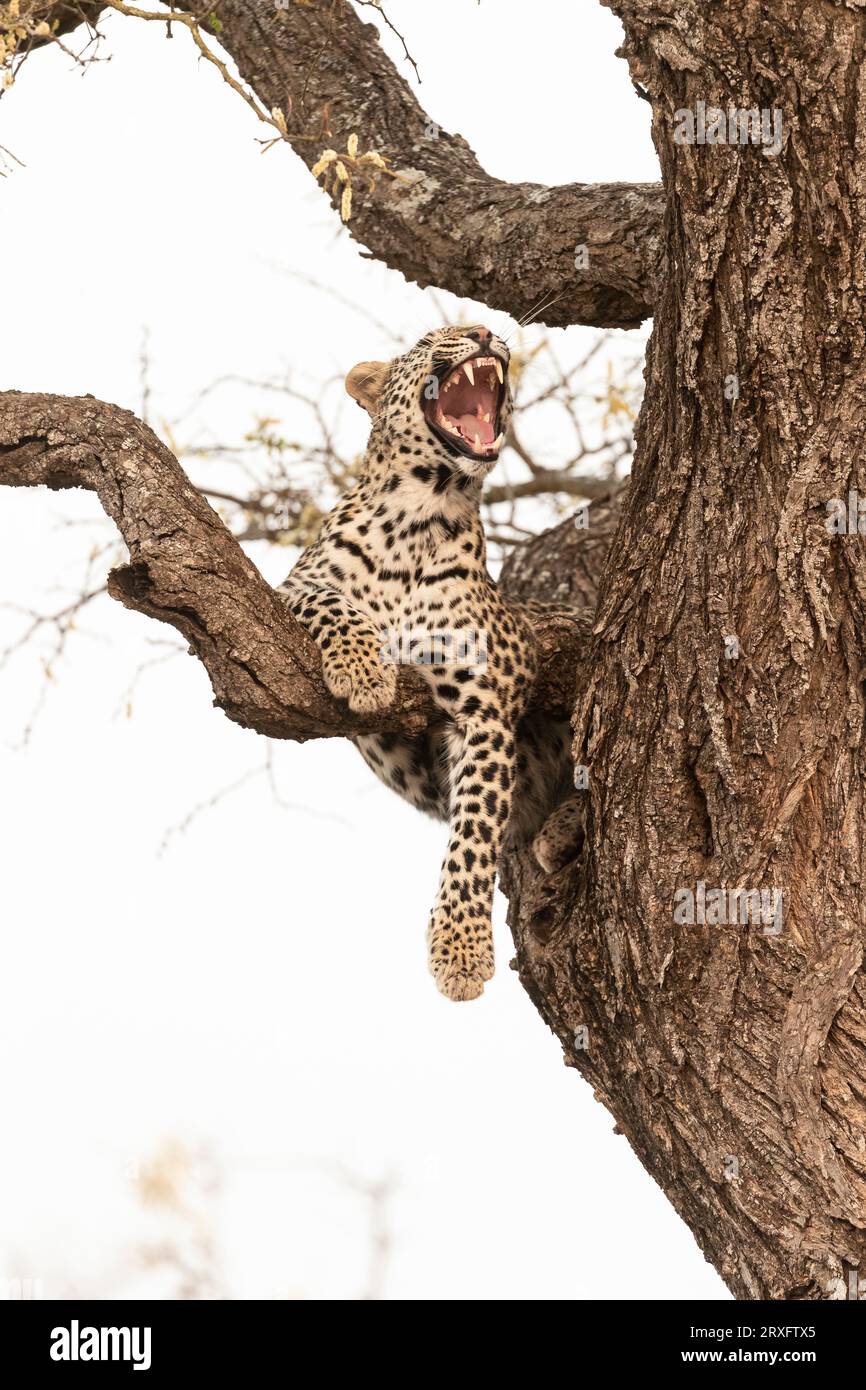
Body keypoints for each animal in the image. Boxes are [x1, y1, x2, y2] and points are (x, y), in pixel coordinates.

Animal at [280, 325, 586, 1000]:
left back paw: (559, 831)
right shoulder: (293, 587)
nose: (481, 331)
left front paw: (460, 951)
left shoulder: (485, 709)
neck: (420, 513)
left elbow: (472, 838)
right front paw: (365, 670)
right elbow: (335, 603)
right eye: (430, 337)